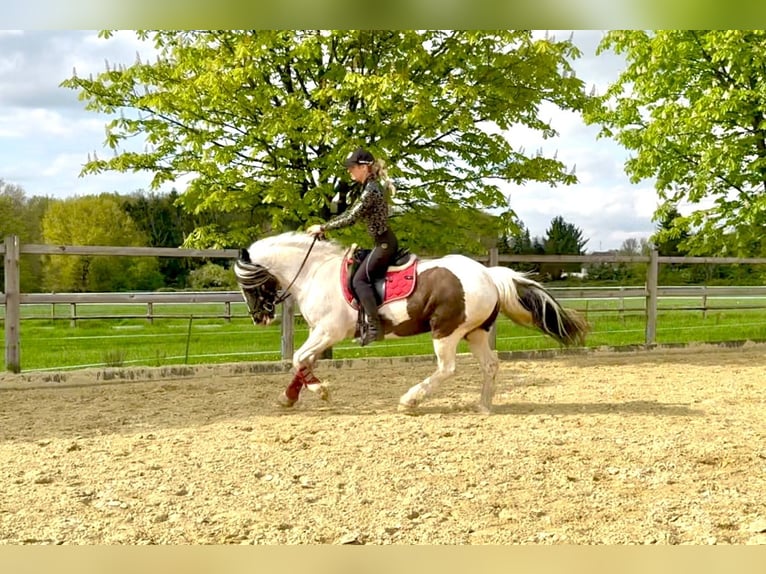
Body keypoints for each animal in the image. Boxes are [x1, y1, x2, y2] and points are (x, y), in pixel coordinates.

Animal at [234, 232, 588, 414]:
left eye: (247, 284)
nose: (259, 317)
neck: (314, 272)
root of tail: (488, 274)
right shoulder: (320, 334)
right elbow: (303, 362)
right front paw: (289, 397)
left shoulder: (327, 331)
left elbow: (298, 358)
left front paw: (321, 391)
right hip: (475, 333)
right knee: (491, 364)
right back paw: (483, 405)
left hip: (446, 331)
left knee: (447, 369)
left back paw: (410, 400)